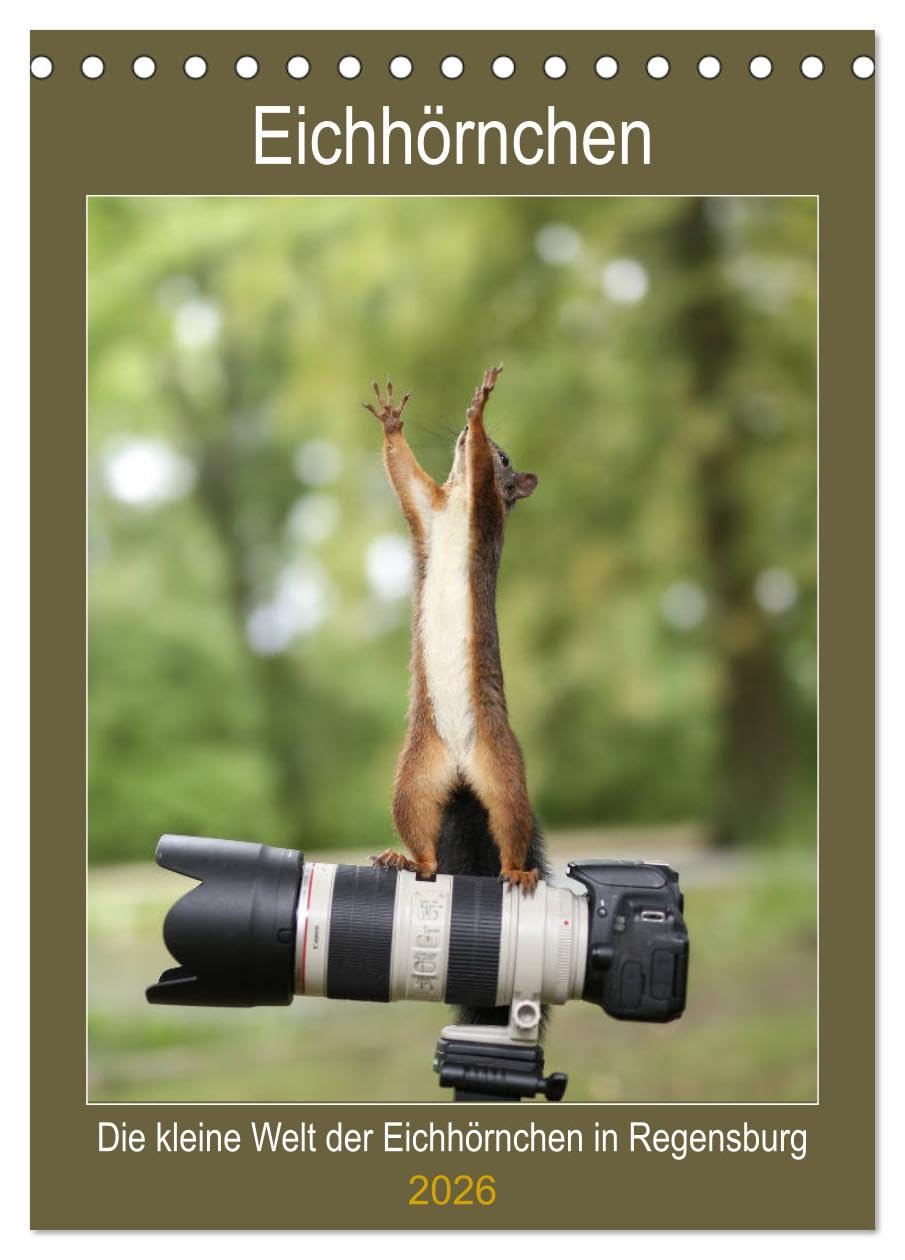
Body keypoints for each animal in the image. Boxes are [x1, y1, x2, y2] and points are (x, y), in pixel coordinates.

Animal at [365, 367, 549, 1025]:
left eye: (507, 457)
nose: (472, 443)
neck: (457, 504)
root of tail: (465, 770)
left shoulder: (485, 511)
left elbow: (480, 486)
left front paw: (478, 408)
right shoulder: (427, 507)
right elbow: (404, 475)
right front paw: (393, 422)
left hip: (505, 773)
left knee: (511, 825)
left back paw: (517, 872)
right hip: (414, 780)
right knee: (427, 850)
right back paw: (407, 860)